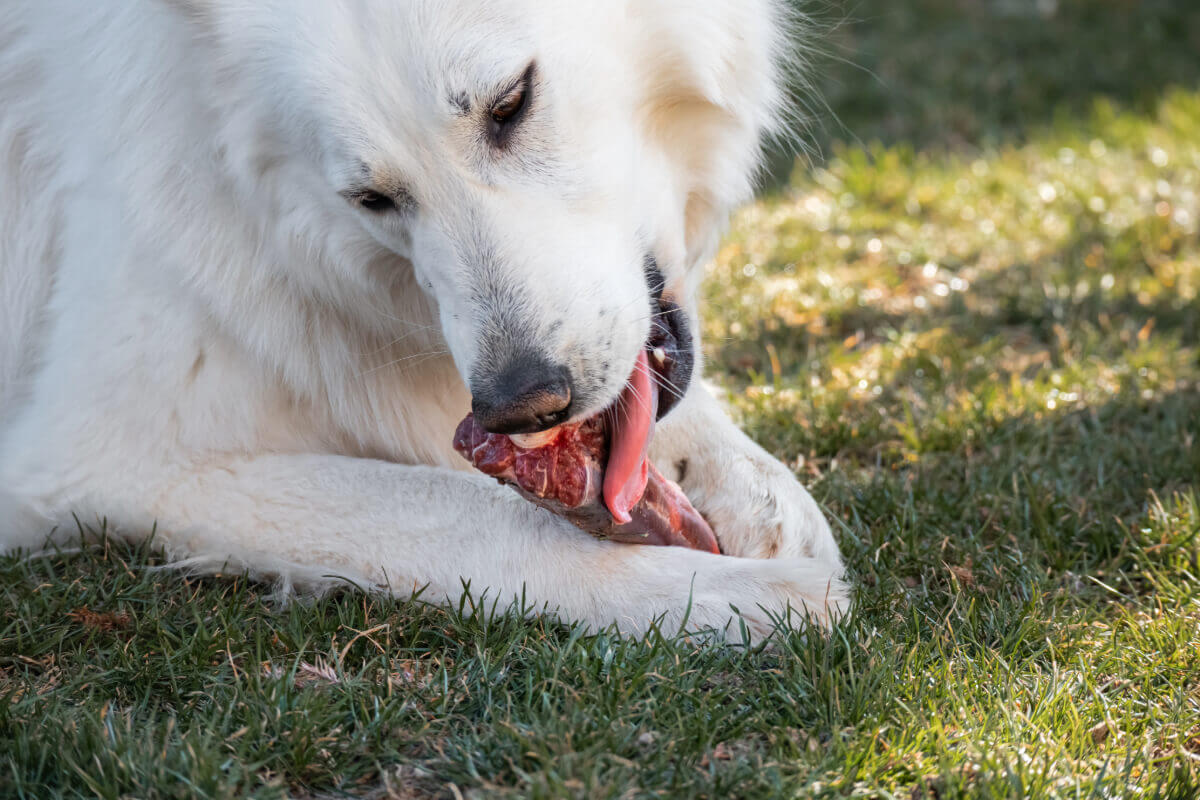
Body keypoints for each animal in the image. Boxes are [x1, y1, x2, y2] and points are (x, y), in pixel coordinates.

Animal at [0, 0, 844, 638]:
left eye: (512, 103)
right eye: (371, 199)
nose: (520, 406)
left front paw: (758, 492)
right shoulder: (102, 462)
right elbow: (474, 514)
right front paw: (729, 595)